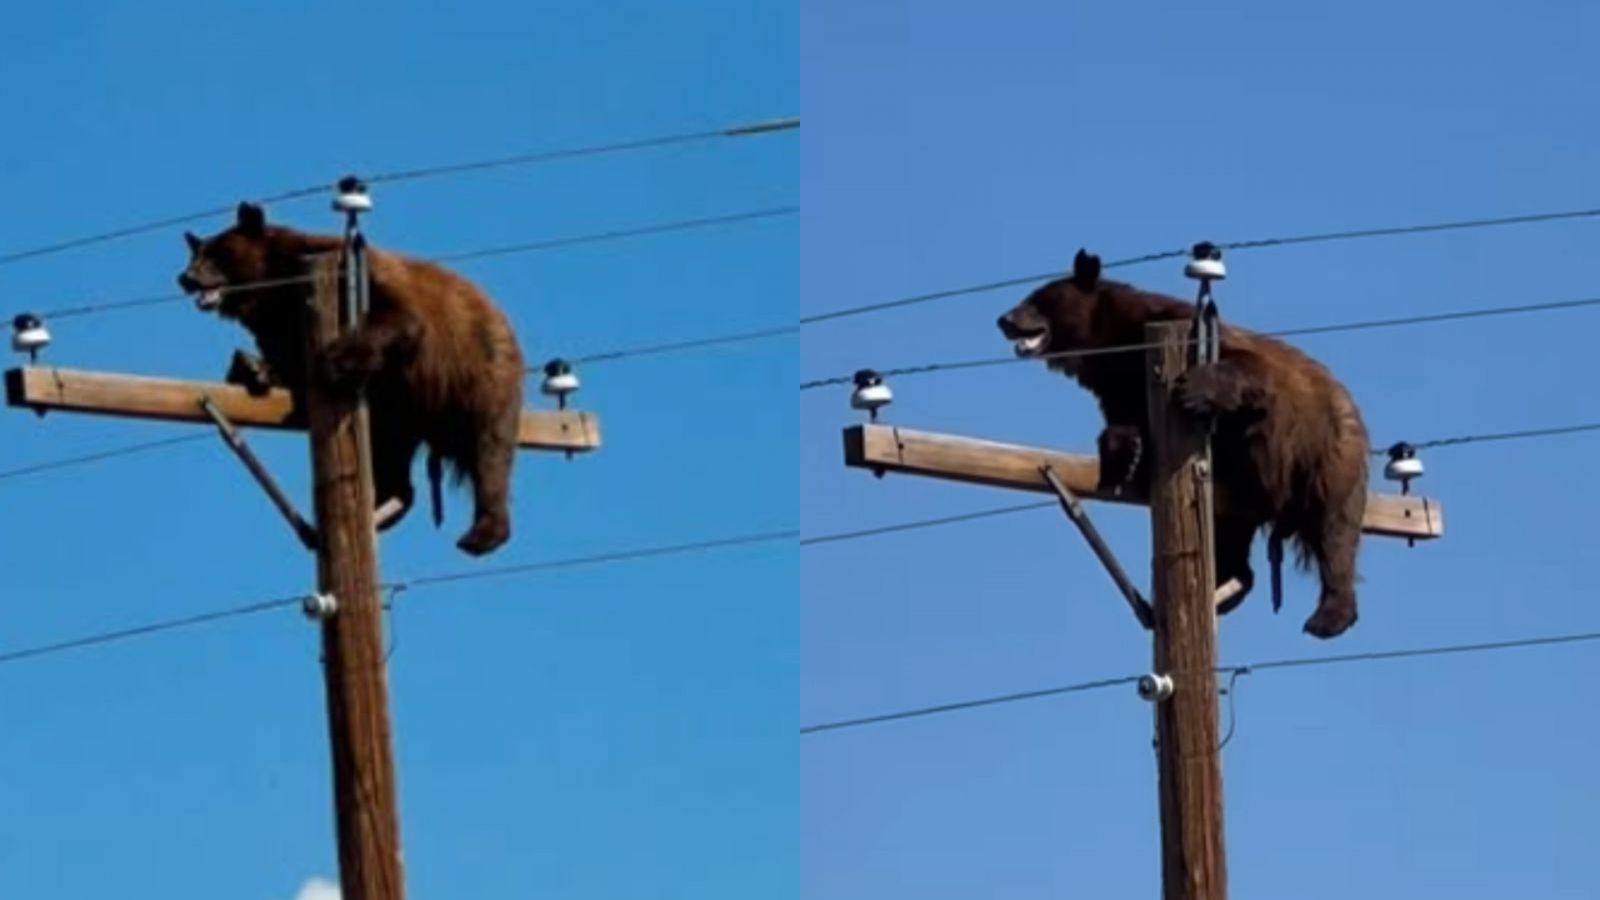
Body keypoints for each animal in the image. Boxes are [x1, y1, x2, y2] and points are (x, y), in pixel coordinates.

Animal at [177, 201, 526, 556]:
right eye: (195, 254)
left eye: (217, 253)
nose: (186, 277)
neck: (274, 287)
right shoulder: (278, 321)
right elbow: (286, 357)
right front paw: (253, 368)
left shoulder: (353, 273)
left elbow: (399, 316)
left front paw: (331, 362)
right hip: (400, 410)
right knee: (391, 454)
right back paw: (383, 505)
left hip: (479, 371)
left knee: (489, 448)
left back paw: (482, 532)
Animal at [996, 249, 1369, 639]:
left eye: (1038, 298)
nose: (1004, 319)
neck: (1113, 346)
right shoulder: (1118, 384)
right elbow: (1126, 424)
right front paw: (1123, 455)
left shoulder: (1191, 332)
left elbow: (1247, 367)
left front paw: (1195, 390)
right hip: (1237, 497)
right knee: (1231, 538)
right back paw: (1227, 586)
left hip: (1324, 452)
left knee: (1333, 530)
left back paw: (1329, 615)